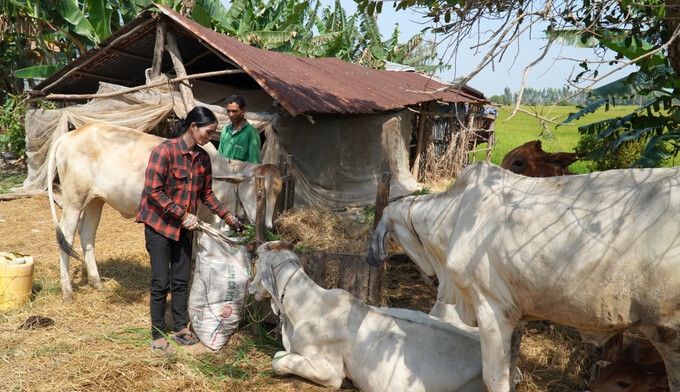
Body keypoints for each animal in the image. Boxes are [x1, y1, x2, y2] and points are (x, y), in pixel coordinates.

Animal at [47, 124, 282, 302]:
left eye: (278, 192)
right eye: (257, 191)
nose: (268, 226)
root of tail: (68, 136)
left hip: (95, 200)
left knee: (87, 235)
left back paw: (97, 283)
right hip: (74, 200)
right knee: (65, 237)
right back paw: (67, 291)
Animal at [366, 162, 680, 392]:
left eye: (394, 236)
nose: (427, 278)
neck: (454, 217)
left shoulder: (491, 309)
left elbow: (495, 380)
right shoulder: (515, 314)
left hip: (668, 332)